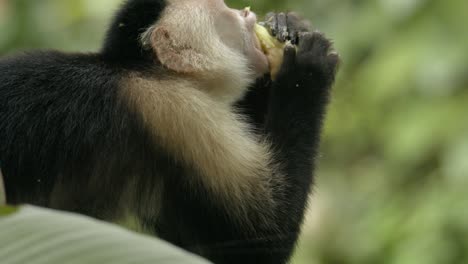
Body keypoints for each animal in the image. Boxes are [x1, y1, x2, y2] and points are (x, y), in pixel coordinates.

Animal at [0, 0, 336, 264]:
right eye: (224, 11)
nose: (245, 13)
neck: (146, 70)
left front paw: (289, 24)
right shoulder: (175, 111)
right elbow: (255, 240)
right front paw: (307, 70)